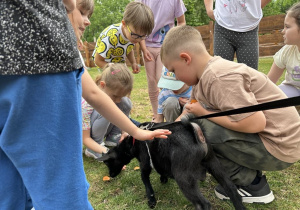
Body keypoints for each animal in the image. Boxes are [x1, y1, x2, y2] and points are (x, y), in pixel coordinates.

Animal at [99, 115, 245, 210]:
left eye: (108, 163)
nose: (110, 175)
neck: (134, 141)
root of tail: (196, 133)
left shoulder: (145, 164)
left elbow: (146, 181)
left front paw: (151, 201)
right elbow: (161, 169)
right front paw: (163, 179)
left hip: (183, 177)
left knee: (203, 204)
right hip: (214, 164)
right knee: (232, 190)